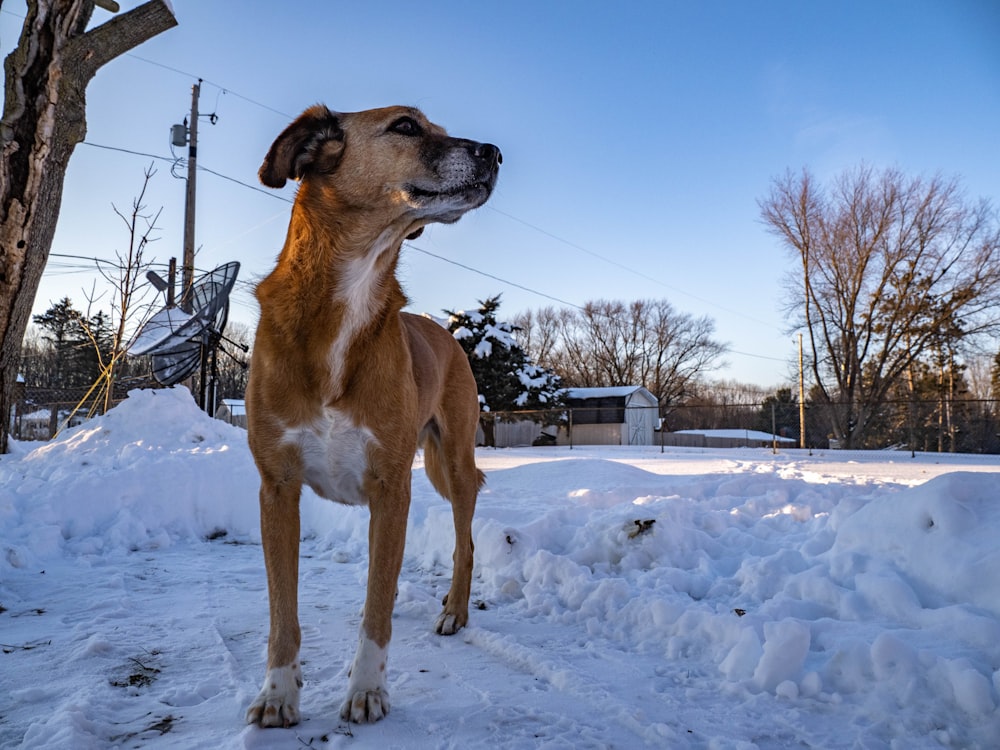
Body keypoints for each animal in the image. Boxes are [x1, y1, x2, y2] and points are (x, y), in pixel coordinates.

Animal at [244, 106, 500, 728]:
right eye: (405, 125)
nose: (495, 152)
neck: (351, 292)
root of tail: (445, 332)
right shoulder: (277, 489)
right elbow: (283, 613)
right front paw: (279, 692)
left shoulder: (390, 485)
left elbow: (375, 611)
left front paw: (366, 689)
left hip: (450, 465)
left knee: (464, 540)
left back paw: (455, 610)